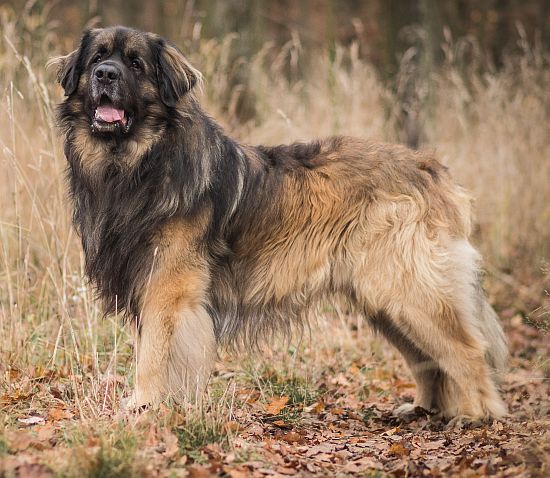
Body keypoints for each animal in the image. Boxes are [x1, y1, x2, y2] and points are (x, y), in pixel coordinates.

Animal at [54, 26, 512, 418]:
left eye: (135, 64)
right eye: (97, 58)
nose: (105, 74)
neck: (136, 163)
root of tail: (430, 167)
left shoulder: (168, 289)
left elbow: (152, 353)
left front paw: (142, 405)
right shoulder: (144, 282)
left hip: (408, 289)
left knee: (468, 351)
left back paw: (476, 417)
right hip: (383, 300)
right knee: (427, 358)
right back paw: (424, 410)